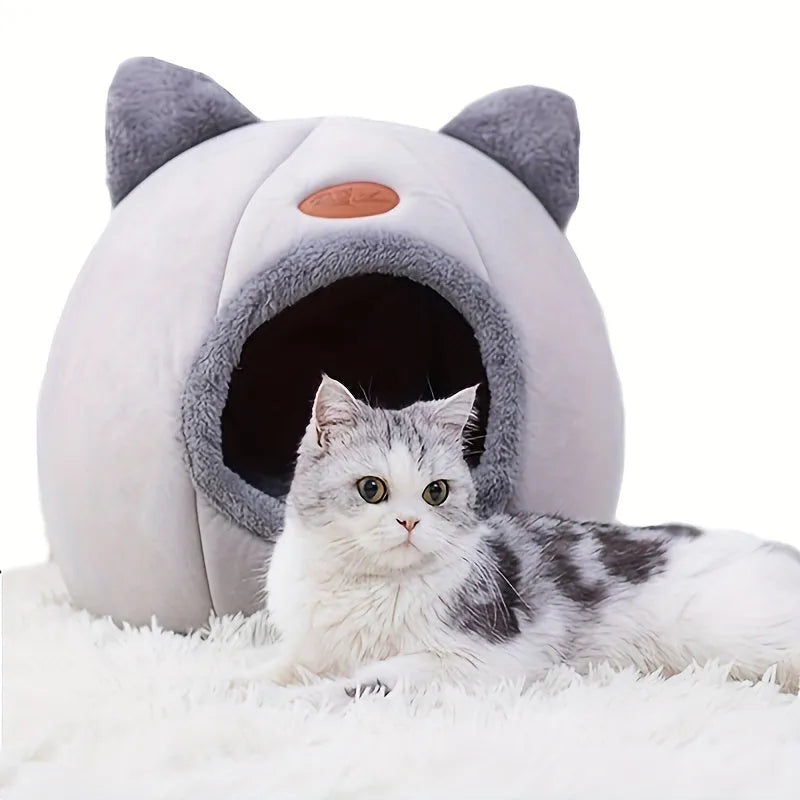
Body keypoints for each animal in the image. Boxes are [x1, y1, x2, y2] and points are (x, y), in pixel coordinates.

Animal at [264, 376, 800, 692]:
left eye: (435, 493)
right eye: (371, 489)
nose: (410, 522)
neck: (363, 589)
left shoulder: (478, 659)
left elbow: (360, 684)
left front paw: (299, 701)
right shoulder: (306, 649)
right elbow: (272, 669)